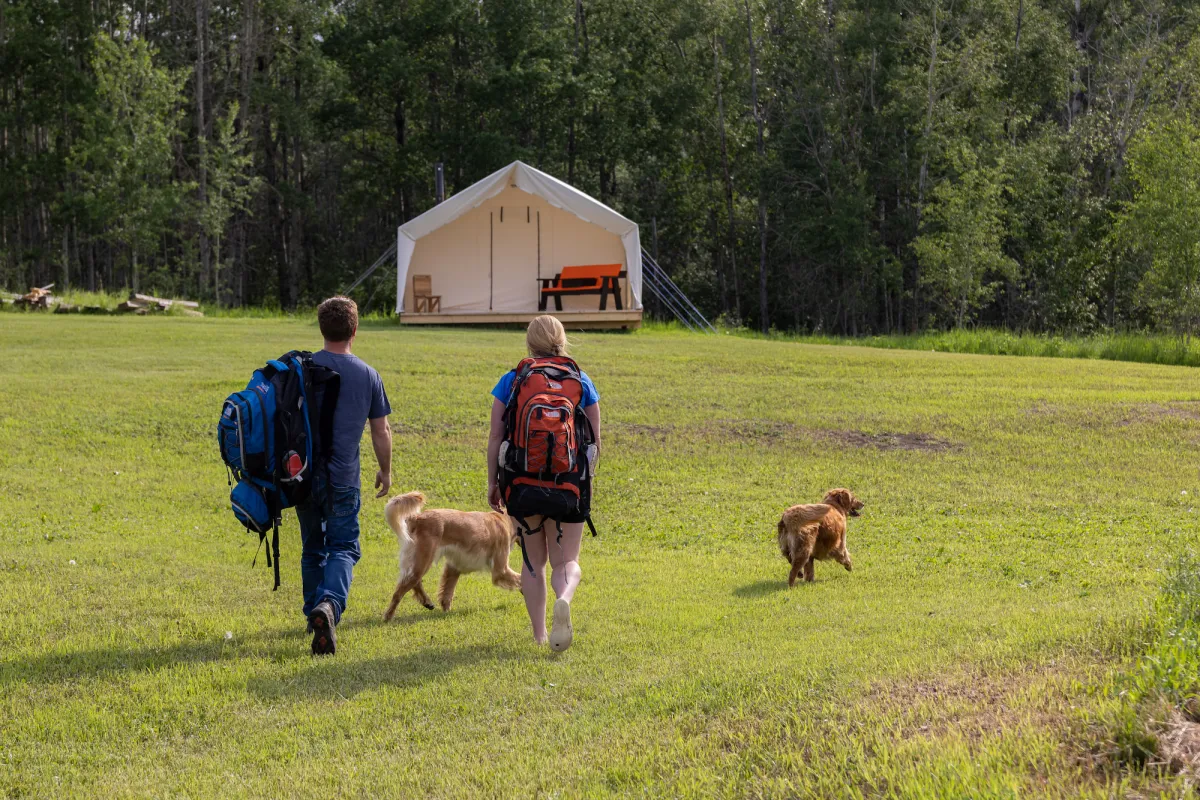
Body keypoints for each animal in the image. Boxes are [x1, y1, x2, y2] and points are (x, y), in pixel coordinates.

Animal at [381, 491, 518, 623]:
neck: (504, 520)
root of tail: (417, 517)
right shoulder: (501, 571)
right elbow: (519, 580)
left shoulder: (453, 567)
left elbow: (447, 593)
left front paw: (446, 611)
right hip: (423, 560)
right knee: (400, 591)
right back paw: (388, 616)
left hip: (416, 562)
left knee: (413, 581)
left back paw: (427, 602)